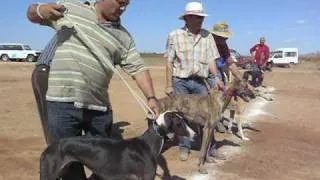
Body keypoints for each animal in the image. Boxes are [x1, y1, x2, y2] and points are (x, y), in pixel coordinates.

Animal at [40, 111, 195, 180]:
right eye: (179, 124)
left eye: (185, 120)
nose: (195, 135)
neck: (149, 143)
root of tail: (48, 148)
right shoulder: (146, 177)